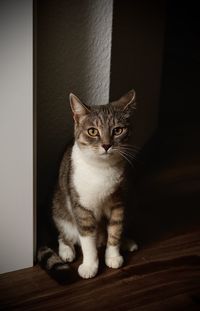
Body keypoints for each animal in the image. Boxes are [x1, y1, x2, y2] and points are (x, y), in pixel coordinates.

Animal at [38, 90, 138, 280]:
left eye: (118, 130)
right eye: (92, 131)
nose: (106, 145)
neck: (101, 169)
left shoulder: (118, 202)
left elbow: (115, 229)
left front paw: (113, 256)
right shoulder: (81, 206)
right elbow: (87, 238)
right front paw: (90, 265)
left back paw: (127, 242)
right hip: (59, 207)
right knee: (63, 232)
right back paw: (66, 250)